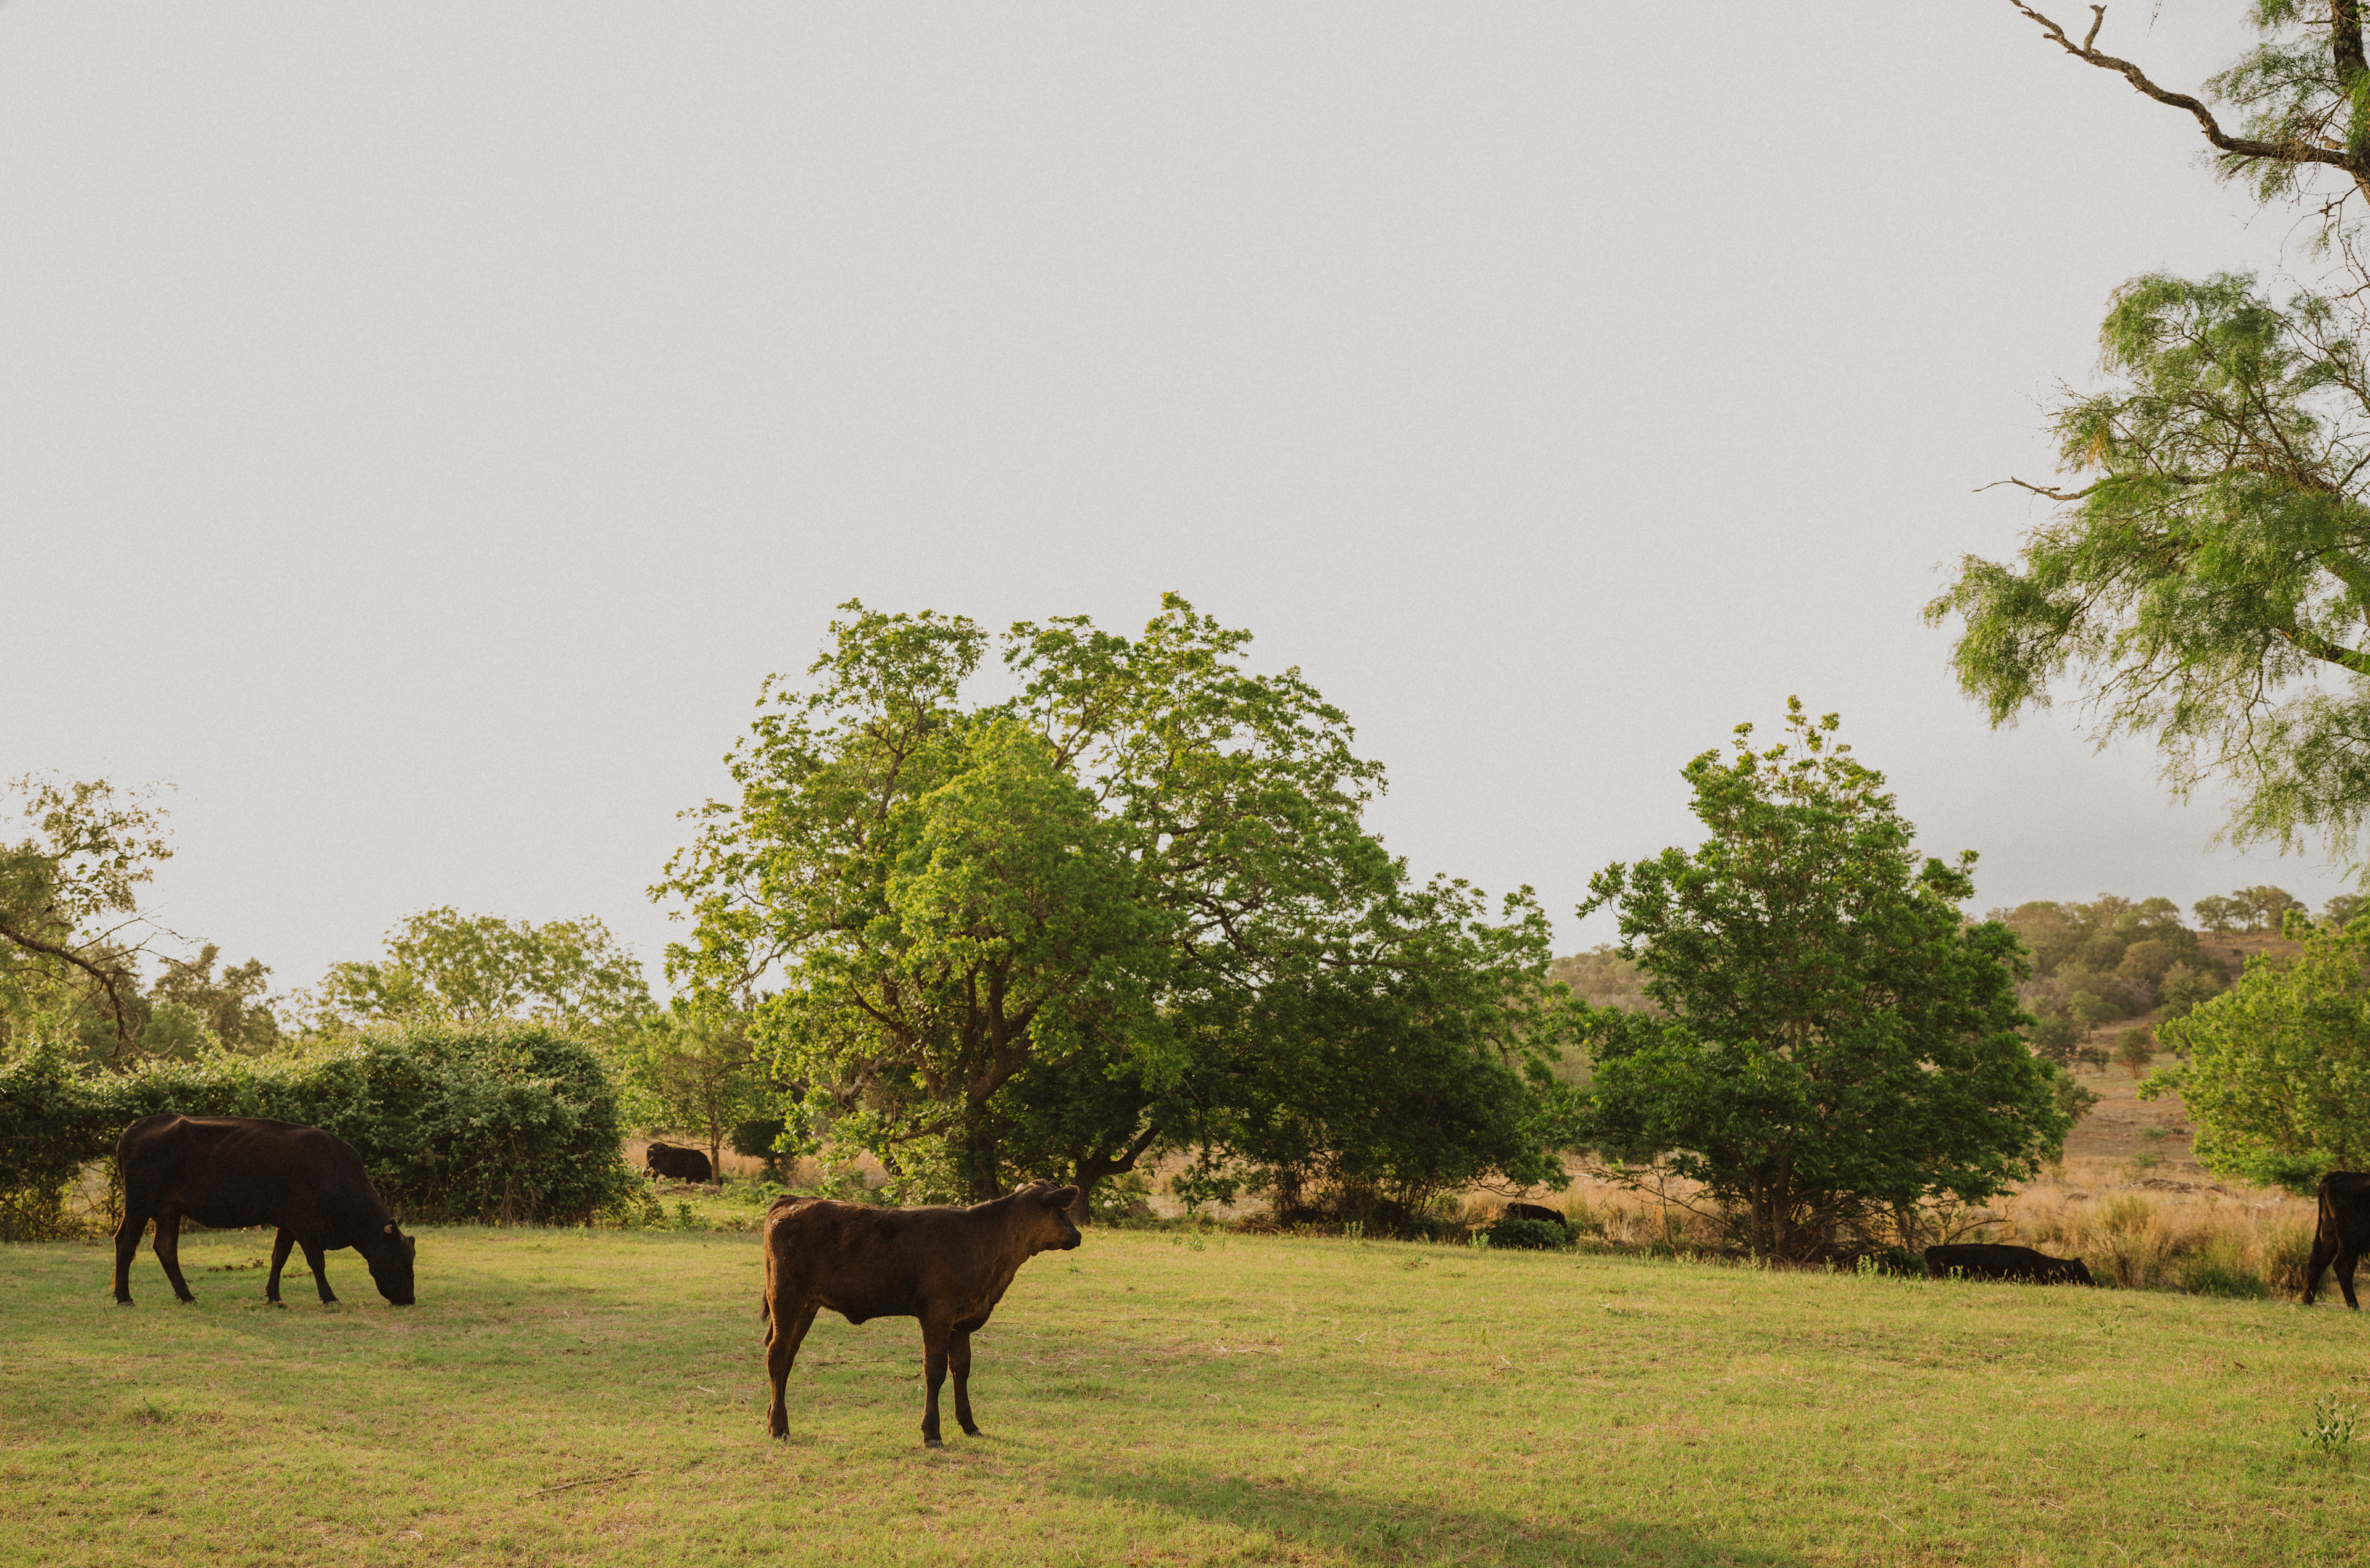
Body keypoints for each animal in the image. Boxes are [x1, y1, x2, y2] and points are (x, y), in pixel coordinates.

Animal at [112, 1115, 416, 1307]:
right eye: (404, 1261)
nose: (410, 1300)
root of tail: (135, 1127)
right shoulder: (305, 1224)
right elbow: (317, 1262)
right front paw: (330, 1297)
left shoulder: (288, 1222)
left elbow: (278, 1258)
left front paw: (274, 1296)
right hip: (139, 1204)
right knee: (126, 1242)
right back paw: (124, 1297)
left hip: (169, 1210)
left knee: (165, 1248)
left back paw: (187, 1296)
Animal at [761, 1181, 1082, 1448]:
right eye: (1064, 1211)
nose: (1078, 1236)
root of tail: (793, 1199)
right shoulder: (937, 1314)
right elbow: (935, 1370)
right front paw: (932, 1433)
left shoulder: (961, 1321)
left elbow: (961, 1369)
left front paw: (970, 1425)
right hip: (785, 1298)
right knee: (776, 1354)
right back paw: (780, 1428)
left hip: (806, 1306)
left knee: (788, 1356)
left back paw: (773, 1418)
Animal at [2301, 1171, 2370, 1308]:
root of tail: (2337, 1174)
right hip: (2350, 1240)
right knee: (2342, 1265)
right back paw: (2354, 1306)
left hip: (2332, 1236)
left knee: (2318, 1261)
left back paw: (2307, 1301)